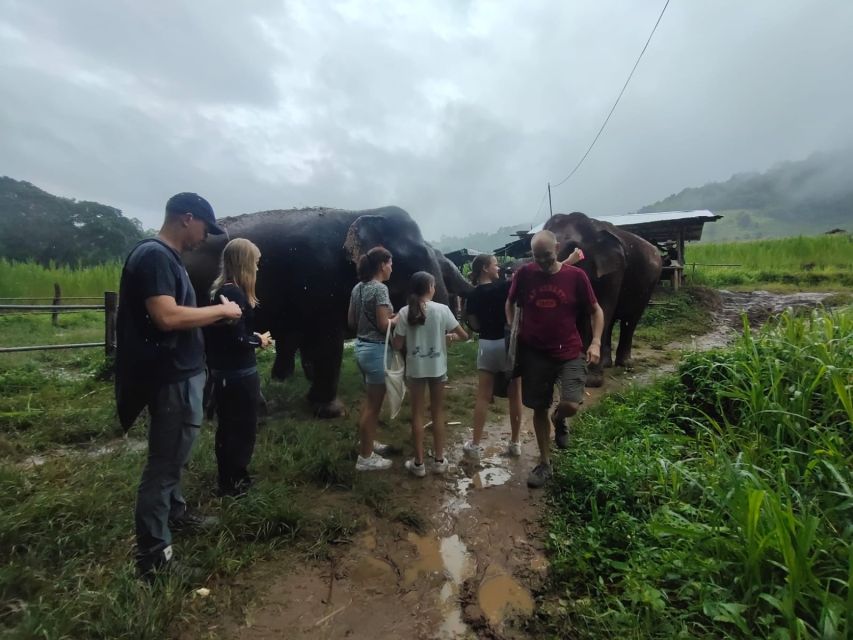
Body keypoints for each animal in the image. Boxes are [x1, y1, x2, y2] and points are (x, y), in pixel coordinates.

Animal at [544, 212, 664, 388]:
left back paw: (625, 364)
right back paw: (607, 364)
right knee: (613, 320)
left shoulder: (614, 270)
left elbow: (600, 311)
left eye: (573, 247)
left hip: (649, 283)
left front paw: (591, 381)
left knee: (630, 319)